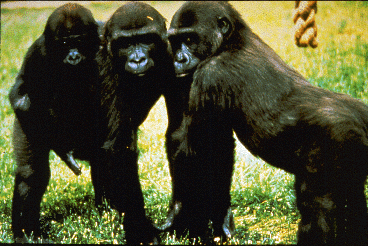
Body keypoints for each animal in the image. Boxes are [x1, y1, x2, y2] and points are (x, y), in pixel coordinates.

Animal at [162, 0, 368, 245]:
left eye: (190, 39)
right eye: (175, 42)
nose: (178, 59)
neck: (232, 40)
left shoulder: (211, 76)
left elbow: (197, 155)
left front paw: (180, 218)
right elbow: (218, 152)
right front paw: (220, 220)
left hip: (338, 140)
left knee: (319, 206)